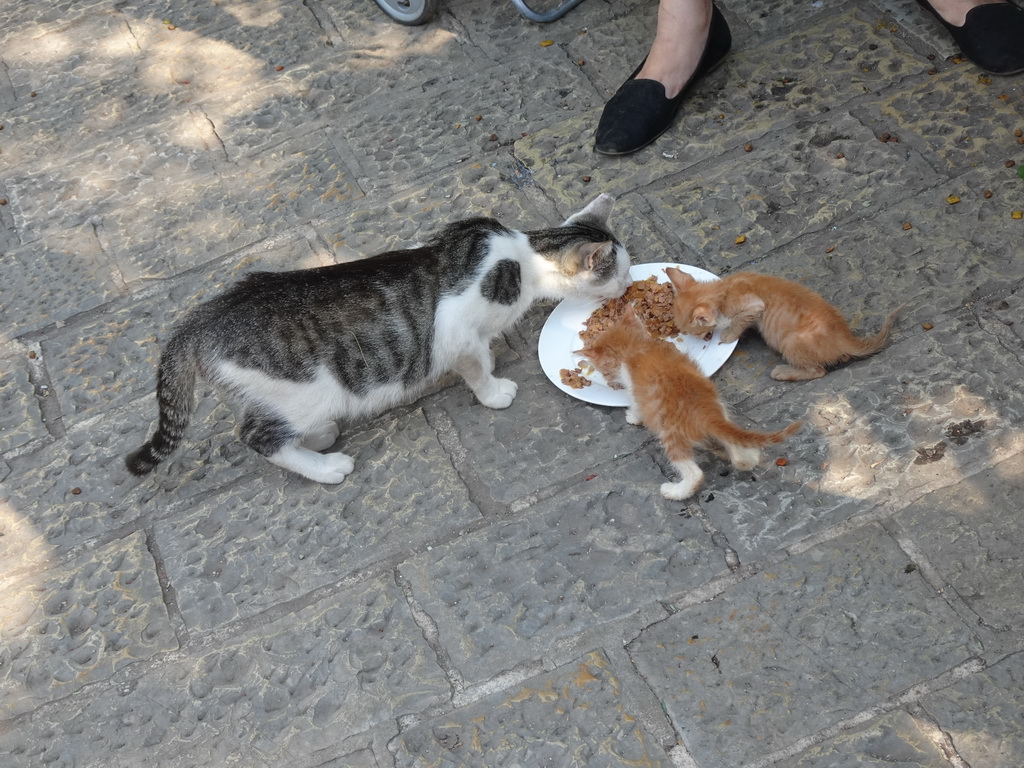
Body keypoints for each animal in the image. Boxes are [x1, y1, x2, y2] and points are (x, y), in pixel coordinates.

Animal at [123, 192, 626, 481]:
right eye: (618, 273)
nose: (626, 287)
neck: (521, 258)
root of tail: (203, 317)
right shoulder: (455, 332)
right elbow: (474, 366)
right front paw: (494, 390)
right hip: (309, 390)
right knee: (257, 436)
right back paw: (326, 467)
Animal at [577, 309, 798, 501]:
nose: (606, 377)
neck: (636, 348)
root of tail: (708, 414)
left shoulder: (635, 390)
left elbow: (637, 406)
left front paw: (632, 417)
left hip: (671, 434)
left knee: (694, 473)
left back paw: (675, 491)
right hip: (721, 409)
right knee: (739, 455)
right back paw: (748, 455)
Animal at [667, 268, 901, 382]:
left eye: (688, 331)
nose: (695, 338)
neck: (722, 290)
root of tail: (845, 337)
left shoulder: (753, 305)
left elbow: (741, 318)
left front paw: (728, 334)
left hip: (791, 341)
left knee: (818, 371)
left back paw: (784, 372)